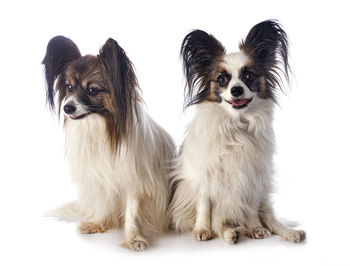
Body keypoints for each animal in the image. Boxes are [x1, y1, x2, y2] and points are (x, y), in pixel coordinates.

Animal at [43, 36, 175, 250]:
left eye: (92, 90)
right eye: (69, 87)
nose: (67, 108)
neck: (101, 127)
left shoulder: (134, 182)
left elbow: (132, 212)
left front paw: (134, 239)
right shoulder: (100, 178)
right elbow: (102, 204)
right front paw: (98, 224)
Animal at [170, 20, 306, 245]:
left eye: (249, 76)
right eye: (221, 79)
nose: (236, 90)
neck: (236, 126)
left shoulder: (252, 177)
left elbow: (251, 208)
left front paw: (256, 228)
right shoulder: (205, 176)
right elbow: (205, 206)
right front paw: (202, 229)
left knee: (269, 218)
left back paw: (289, 232)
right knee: (222, 222)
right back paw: (230, 233)